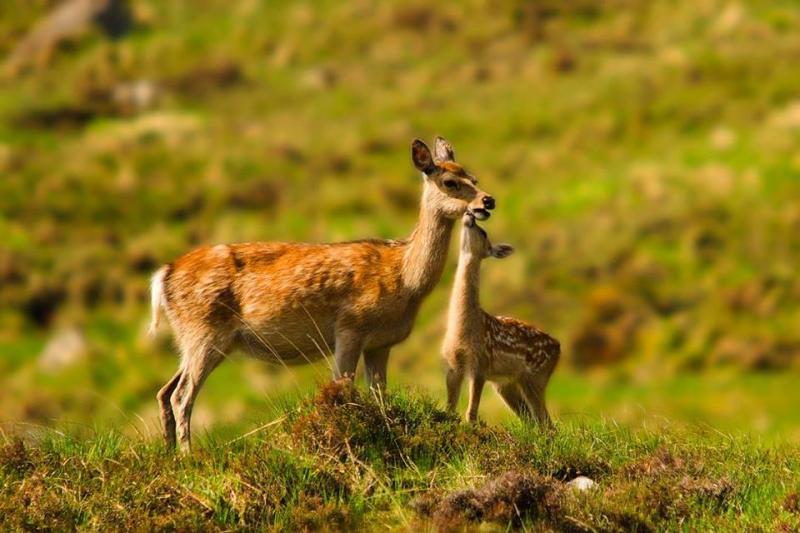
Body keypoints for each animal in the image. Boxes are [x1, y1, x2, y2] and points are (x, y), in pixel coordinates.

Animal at [149, 137, 496, 452]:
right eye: (450, 182)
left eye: (474, 178)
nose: (487, 201)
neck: (405, 279)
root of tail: (162, 276)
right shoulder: (351, 328)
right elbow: (343, 389)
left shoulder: (381, 343)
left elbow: (379, 396)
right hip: (204, 330)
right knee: (181, 395)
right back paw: (188, 456)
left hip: (197, 339)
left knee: (165, 391)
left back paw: (169, 454)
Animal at [442, 212, 560, 428]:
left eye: (483, 231)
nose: (470, 214)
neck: (464, 326)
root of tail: (559, 347)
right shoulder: (453, 364)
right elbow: (450, 408)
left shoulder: (481, 363)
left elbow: (471, 412)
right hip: (505, 384)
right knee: (531, 420)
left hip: (535, 377)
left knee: (546, 423)